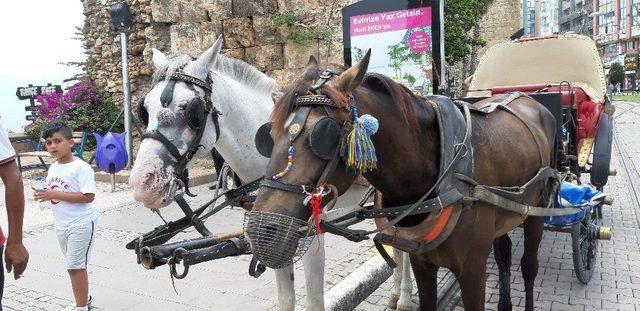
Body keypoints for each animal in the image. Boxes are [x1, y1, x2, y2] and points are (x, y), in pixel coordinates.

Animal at [127, 37, 412, 311]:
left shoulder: (310, 234)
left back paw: (405, 297)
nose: (143, 184)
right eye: (144, 109)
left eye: (192, 110)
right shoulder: (270, 235)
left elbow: (314, 302)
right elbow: (285, 298)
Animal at [248, 54, 556, 311]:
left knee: (529, 266)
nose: (261, 234)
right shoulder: (422, 262)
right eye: (267, 136)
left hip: (537, 210)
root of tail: (529, 99)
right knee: (504, 251)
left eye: (323, 135)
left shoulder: (473, 268)